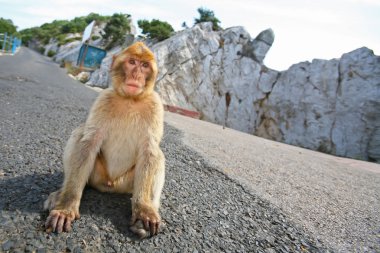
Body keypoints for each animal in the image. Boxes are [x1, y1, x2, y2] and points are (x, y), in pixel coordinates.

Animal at [43, 41, 165, 237]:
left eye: (145, 65)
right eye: (132, 62)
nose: (137, 75)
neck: (129, 99)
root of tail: (110, 185)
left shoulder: (156, 105)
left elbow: (149, 151)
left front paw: (144, 211)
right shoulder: (104, 98)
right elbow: (89, 143)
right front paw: (66, 207)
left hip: (126, 184)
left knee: (158, 155)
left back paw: (149, 211)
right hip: (97, 175)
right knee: (80, 134)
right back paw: (62, 193)